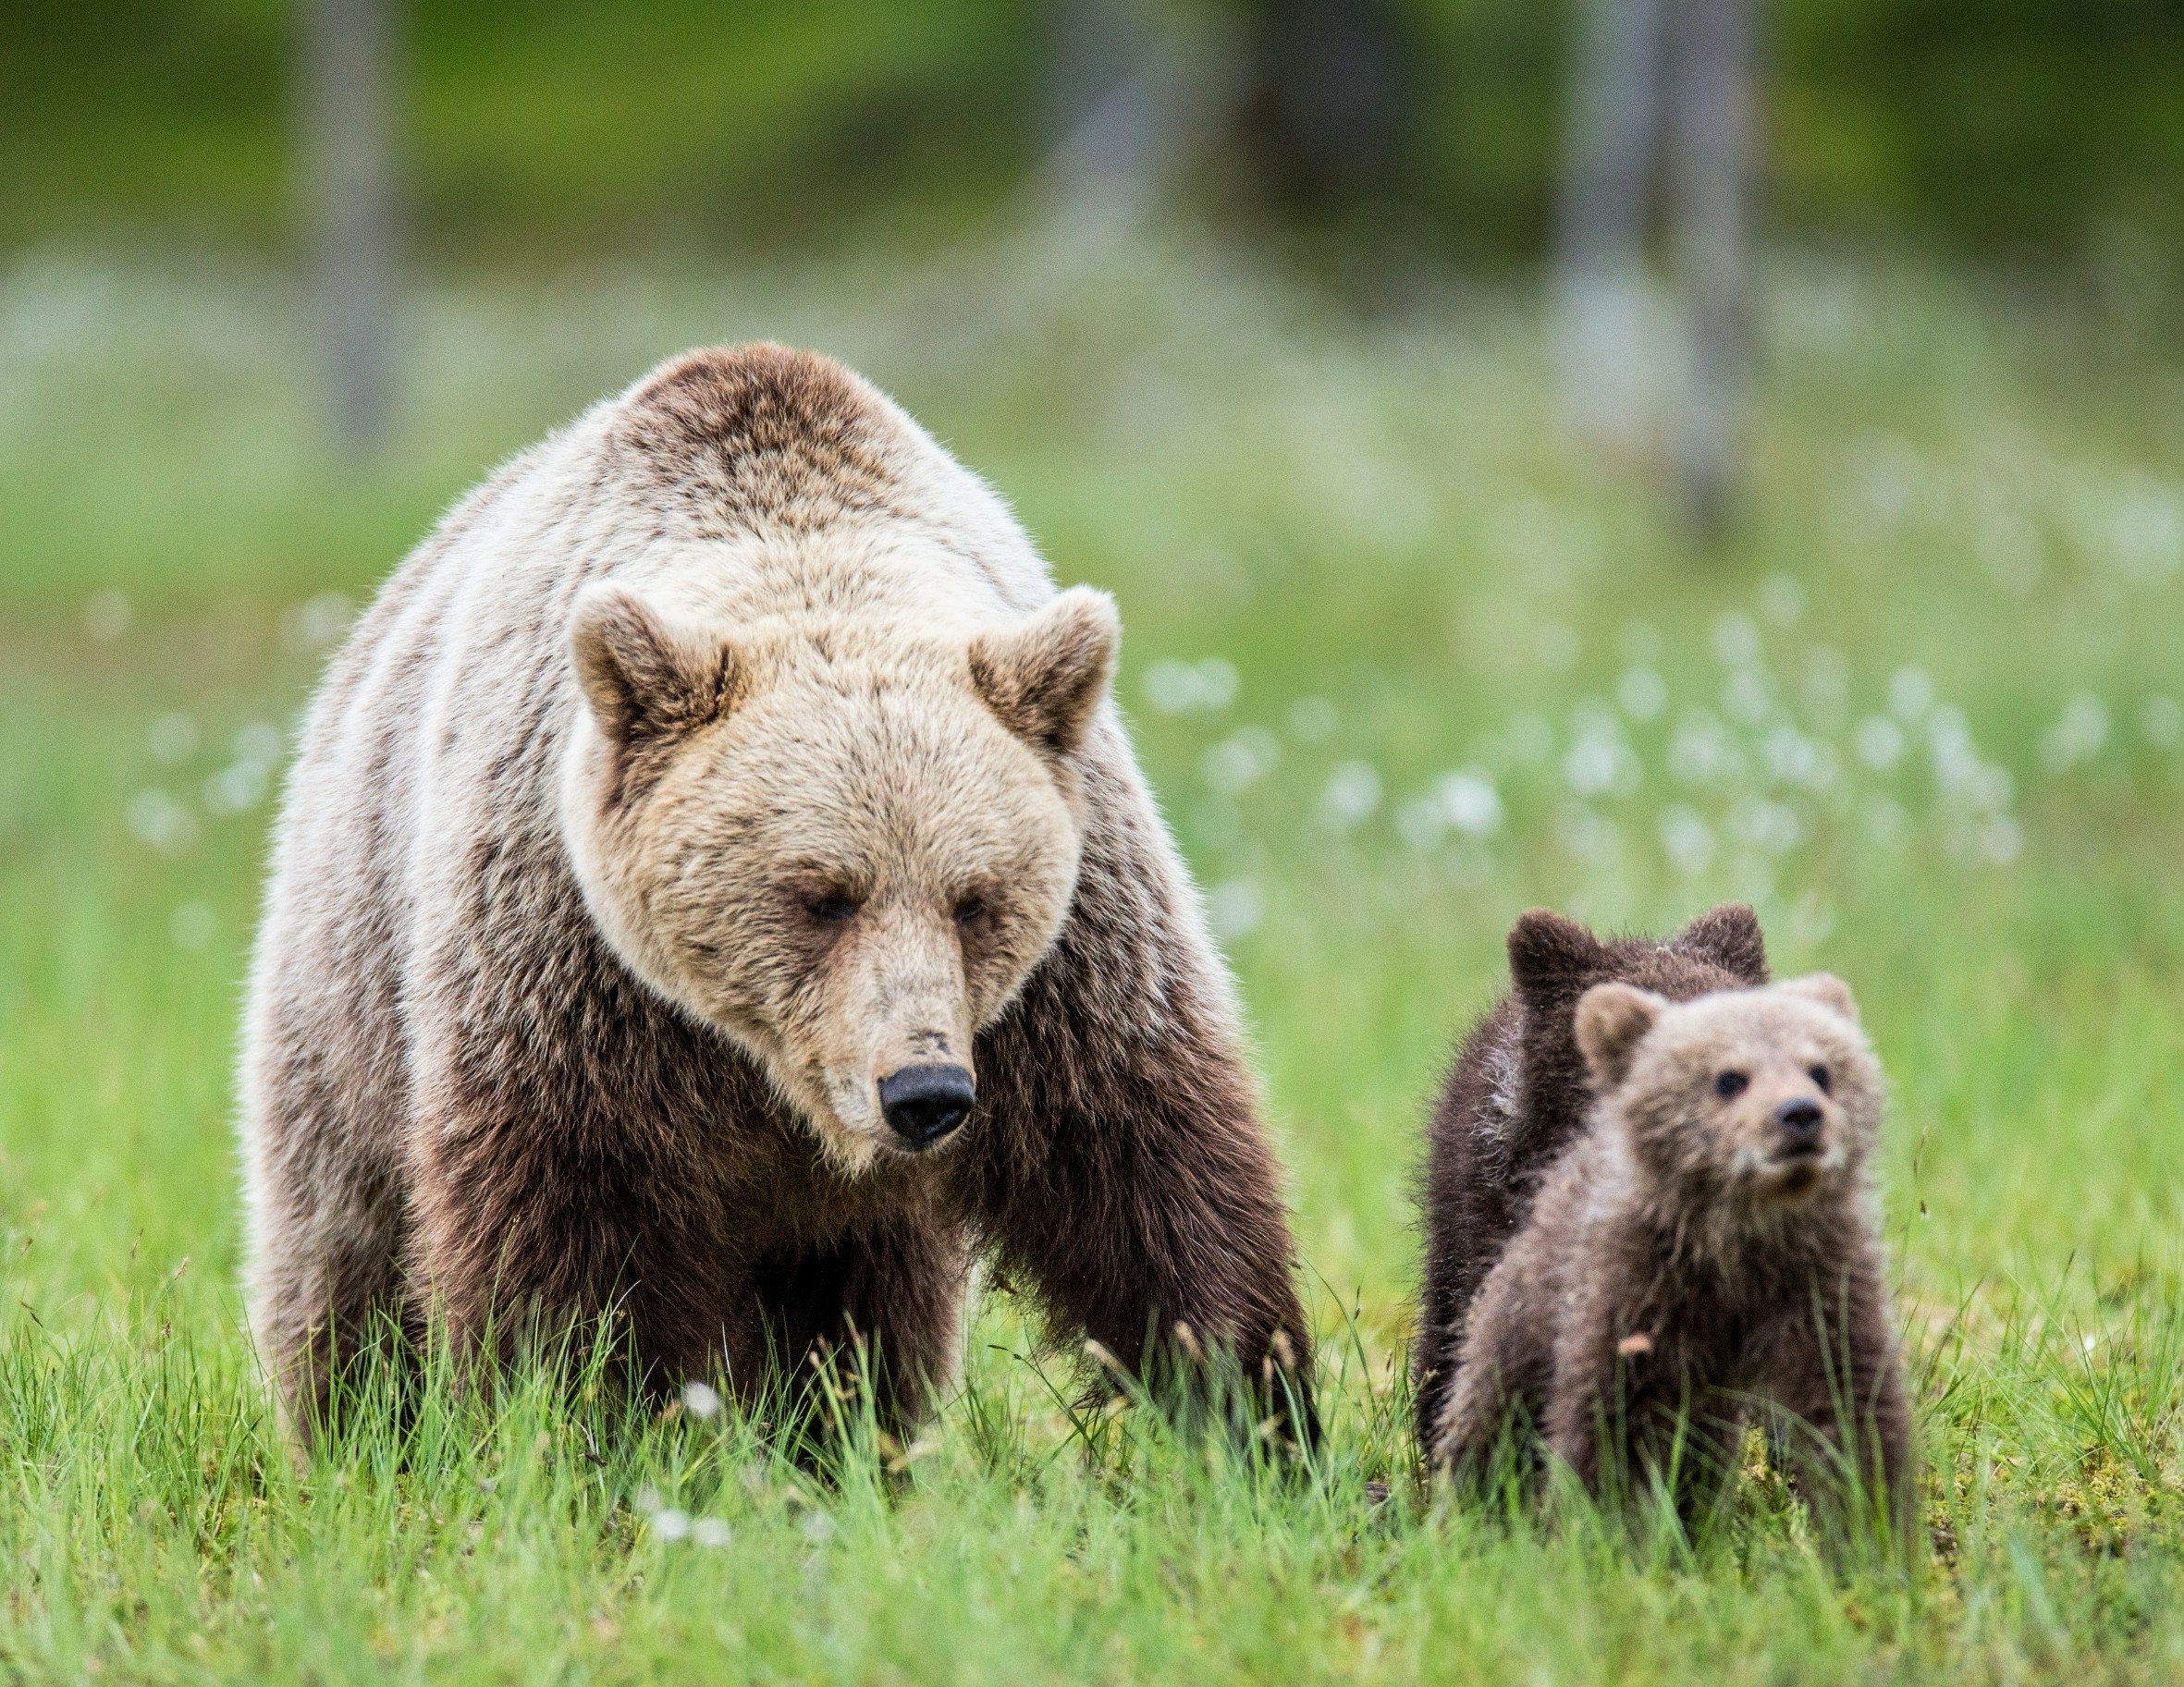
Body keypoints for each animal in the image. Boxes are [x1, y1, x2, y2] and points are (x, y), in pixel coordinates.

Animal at [239, 343, 1314, 1447]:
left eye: (975, 898)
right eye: (820, 894)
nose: (924, 1091)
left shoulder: (1068, 969)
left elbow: (1144, 1165)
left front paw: (1252, 1416)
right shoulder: (572, 976)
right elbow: (569, 1240)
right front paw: (590, 1432)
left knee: (866, 1317)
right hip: (346, 1006)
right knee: (344, 1260)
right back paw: (360, 1428)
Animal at [1432, 973, 1913, 1535]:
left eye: (1820, 1070)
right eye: (1729, 1078)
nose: (1799, 1113)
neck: (1738, 1242)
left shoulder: (1817, 1285)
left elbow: (1850, 1411)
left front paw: (1871, 1528)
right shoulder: (1641, 1294)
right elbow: (1616, 1428)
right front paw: (1607, 1530)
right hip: (1525, 1307)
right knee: (1496, 1409)